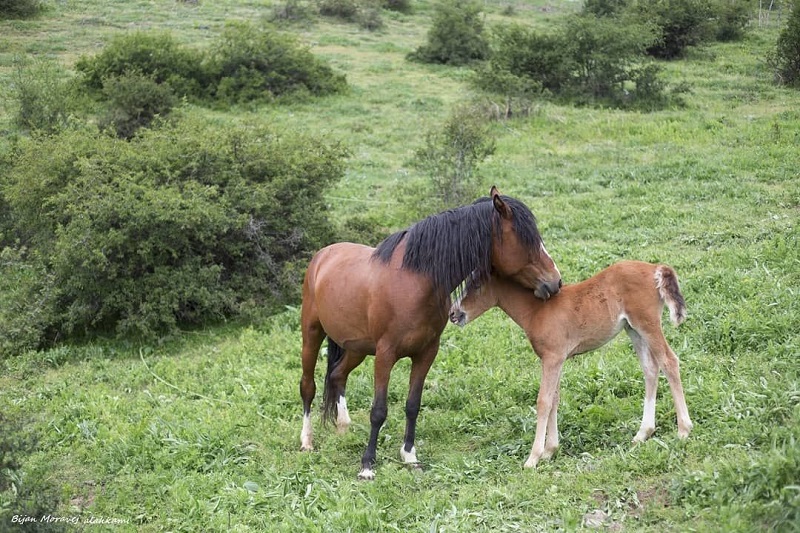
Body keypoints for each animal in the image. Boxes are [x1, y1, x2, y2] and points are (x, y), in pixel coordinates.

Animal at [300, 186, 564, 478]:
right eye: (527, 239)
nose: (555, 282)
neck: (413, 282)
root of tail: (323, 255)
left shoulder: (426, 353)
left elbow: (413, 405)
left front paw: (409, 456)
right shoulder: (385, 355)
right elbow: (378, 410)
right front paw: (367, 465)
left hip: (356, 347)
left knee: (338, 375)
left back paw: (343, 427)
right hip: (312, 335)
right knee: (308, 387)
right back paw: (307, 441)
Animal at [450, 260, 692, 468]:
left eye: (476, 285)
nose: (453, 313)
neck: (536, 311)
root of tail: (655, 269)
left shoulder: (552, 358)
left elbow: (543, 401)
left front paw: (533, 458)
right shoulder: (556, 359)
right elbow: (555, 399)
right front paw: (550, 450)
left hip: (647, 323)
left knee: (669, 361)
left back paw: (683, 430)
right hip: (632, 328)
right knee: (650, 369)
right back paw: (643, 433)